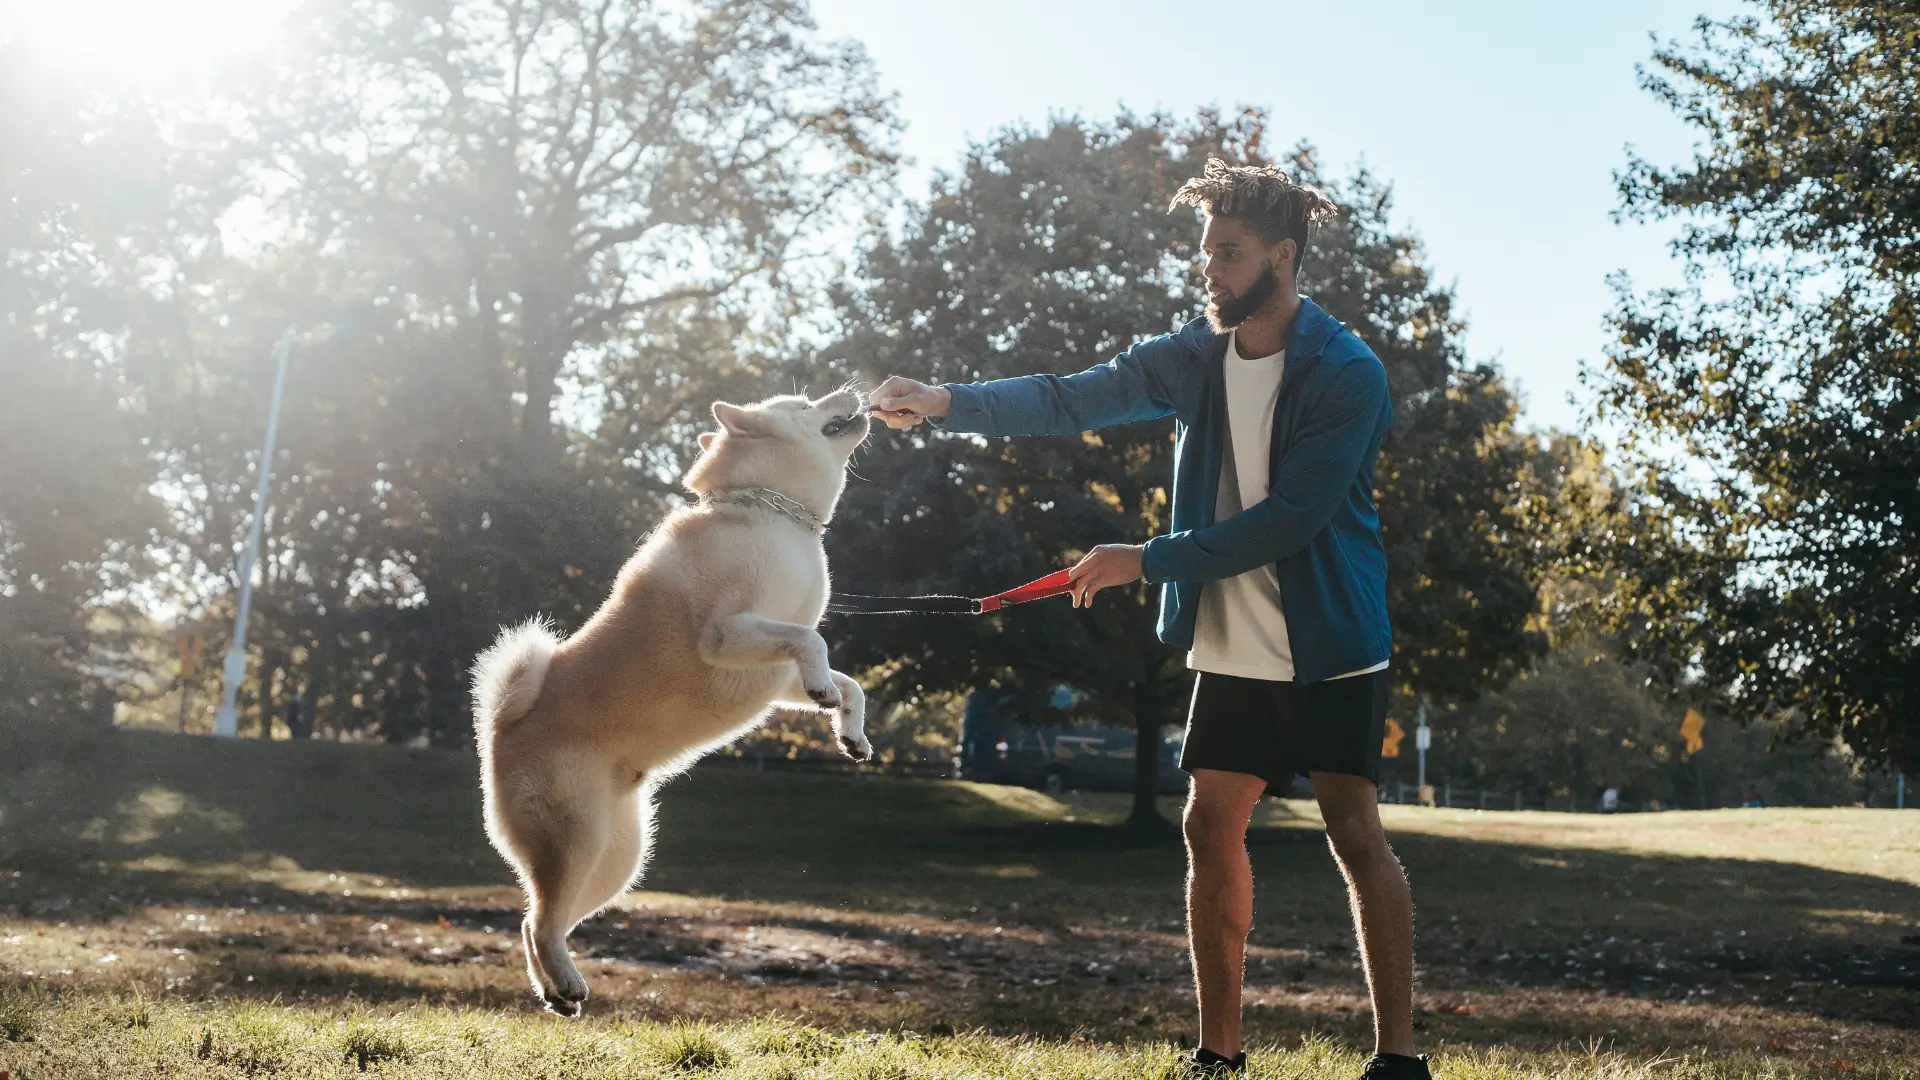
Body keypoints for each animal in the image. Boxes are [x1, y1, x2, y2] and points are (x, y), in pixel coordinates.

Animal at [470, 386, 871, 1006]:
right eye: (805, 403)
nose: (852, 391)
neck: (772, 512)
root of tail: (501, 729)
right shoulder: (727, 635)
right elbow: (814, 639)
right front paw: (827, 689)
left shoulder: (774, 672)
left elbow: (842, 676)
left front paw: (850, 728)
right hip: (580, 838)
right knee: (540, 920)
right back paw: (565, 982)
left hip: (619, 858)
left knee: (536, 921)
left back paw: (556, 989)